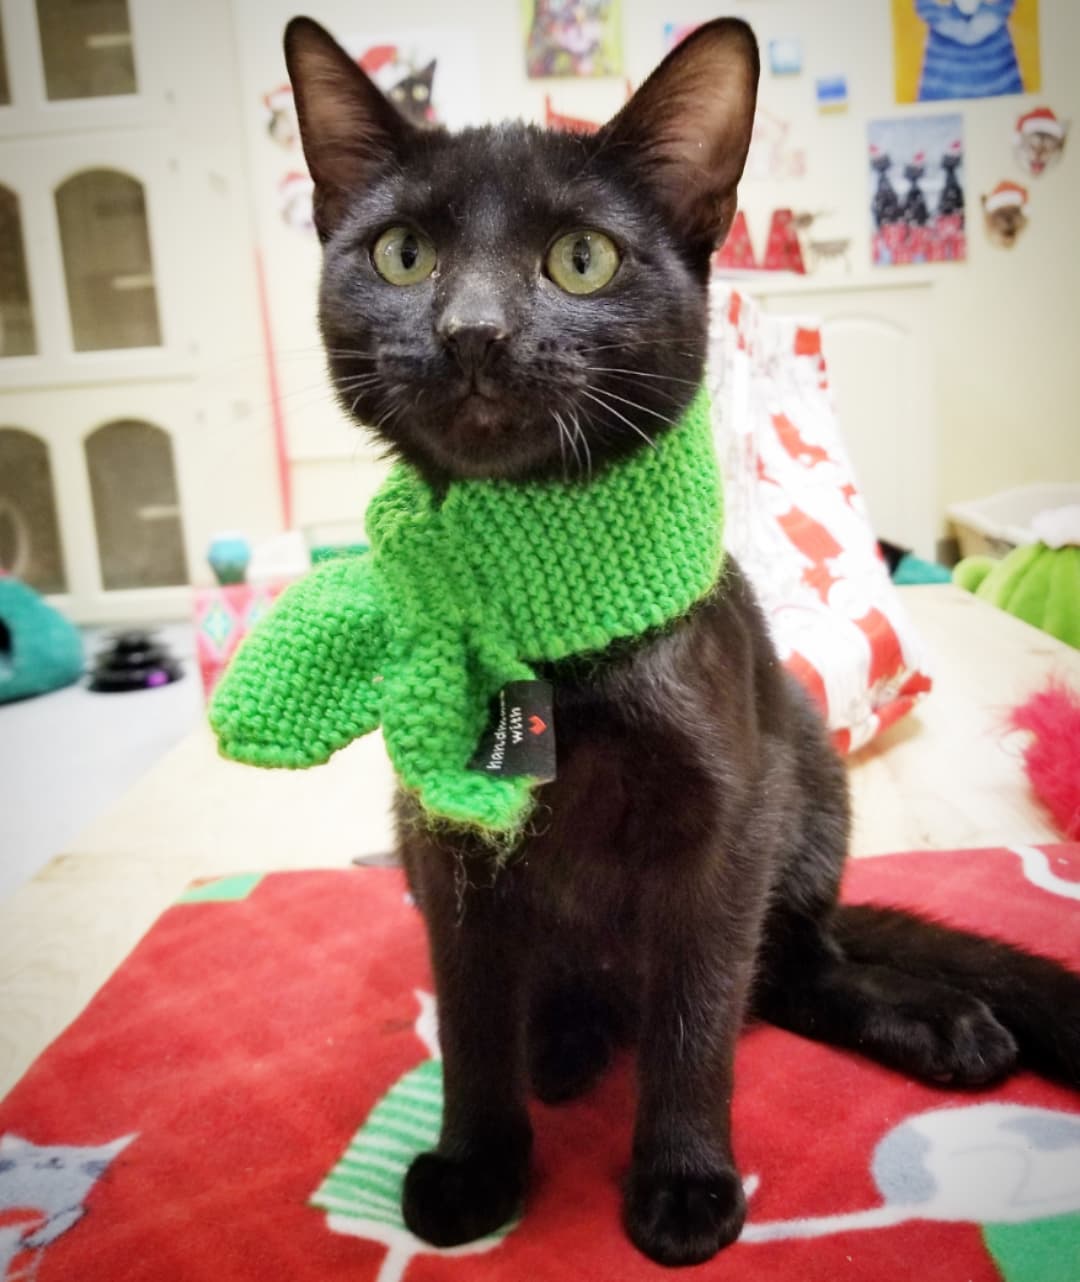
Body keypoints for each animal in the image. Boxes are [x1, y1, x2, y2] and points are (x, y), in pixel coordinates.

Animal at [283, 12, 1077, 1271]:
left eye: (582, 260)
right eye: (403, 256)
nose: (472, 334)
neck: (552, 637)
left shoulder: (723, 827)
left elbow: (698, 1018)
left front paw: (686, 1179)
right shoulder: (448, 838)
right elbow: (469, 1017)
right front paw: (478, 1165)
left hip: (802, 777)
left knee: (794, 969)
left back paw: (944, 1022)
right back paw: (564, 1044)